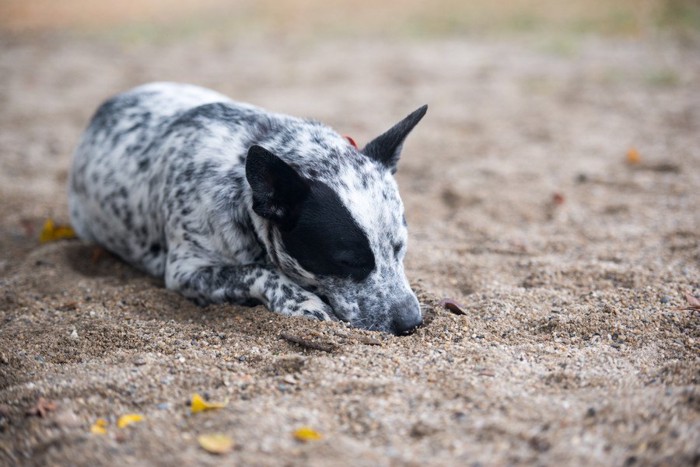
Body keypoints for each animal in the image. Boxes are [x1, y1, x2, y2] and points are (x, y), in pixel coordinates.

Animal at [68, 82, 426, 334]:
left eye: (400, 248)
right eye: (347, 261)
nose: (410, 323)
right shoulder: (186, 271)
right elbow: (259, 271)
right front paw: (302, 301)